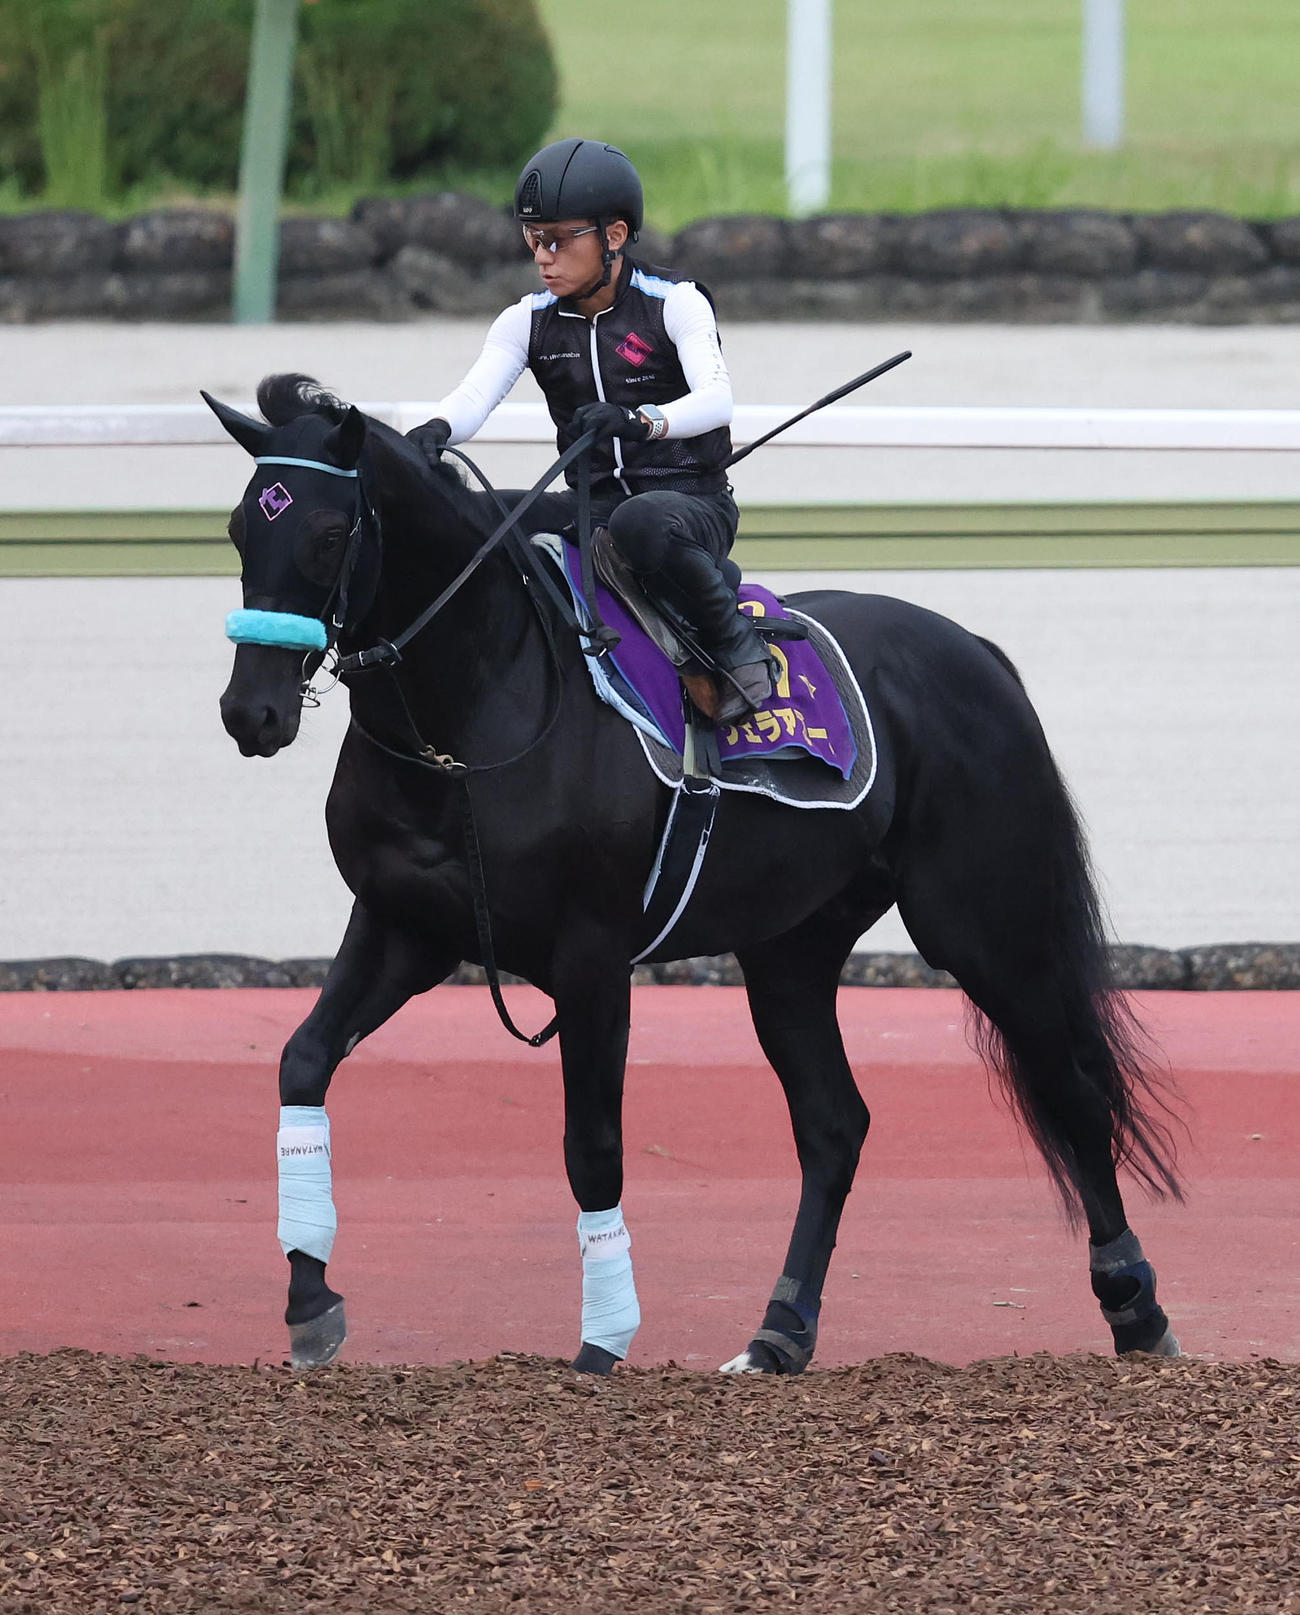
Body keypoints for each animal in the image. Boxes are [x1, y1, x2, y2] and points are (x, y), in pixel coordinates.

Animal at [208, 372, 1182, 1374]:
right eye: (241, 527)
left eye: (330, 533)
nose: (252, 710)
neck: (481, 708)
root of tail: (974, 650)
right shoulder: (404, 924)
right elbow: (302, 1060)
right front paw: (310, 1299)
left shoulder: (591, 955)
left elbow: (593, 1146)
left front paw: (601, 1343)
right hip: (791, 950)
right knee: (836, 1125)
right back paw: (780, 1329)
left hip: (985, 923)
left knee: (1071, 1085)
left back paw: (1134, 1303)